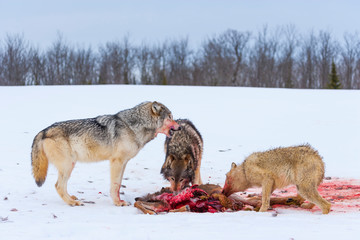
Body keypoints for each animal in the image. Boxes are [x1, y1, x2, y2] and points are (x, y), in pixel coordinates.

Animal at [31, 101, 180, 206]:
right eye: (170, 116)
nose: (180, 127)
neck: (134, 126)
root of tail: (44, 131)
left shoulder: (123, 163)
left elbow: (118, 185)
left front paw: (119, 200)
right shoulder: (116, 162)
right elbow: (115, 185)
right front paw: (117, 203)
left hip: (70, 166)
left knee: (61, 186)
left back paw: (71, 198)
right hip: (68, 166)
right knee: (58, 186)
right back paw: (72, 203)